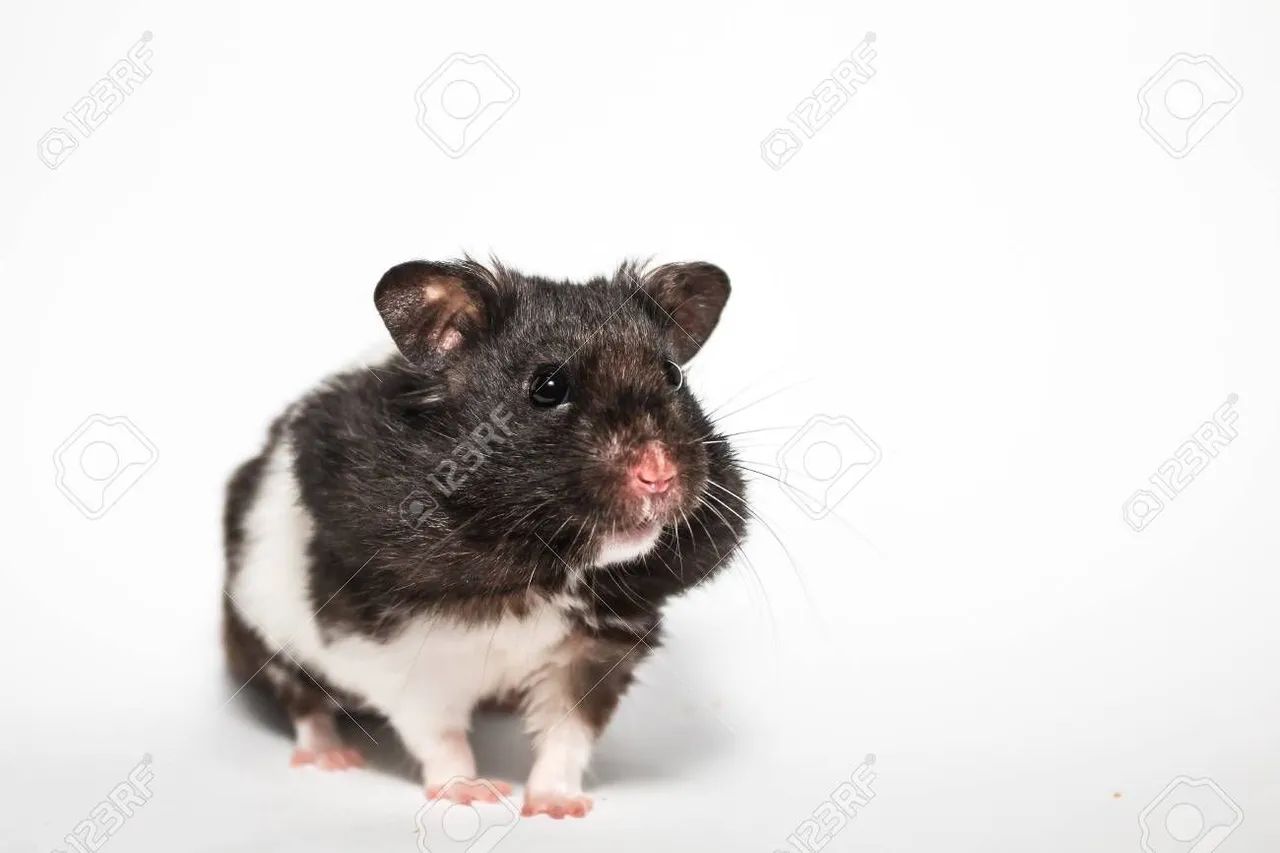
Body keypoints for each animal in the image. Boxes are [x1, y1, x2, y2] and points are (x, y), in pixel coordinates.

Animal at [222, 258, 747, 818]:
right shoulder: (399, 658)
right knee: (301, 701)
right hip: (260, 633)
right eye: (548, 385)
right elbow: (440, 736)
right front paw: (474, 794)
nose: (658, 474)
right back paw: (331, 757)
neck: (543, 565)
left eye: (673, 376)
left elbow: (567, 734)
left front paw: (558, 807)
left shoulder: (594, 650)